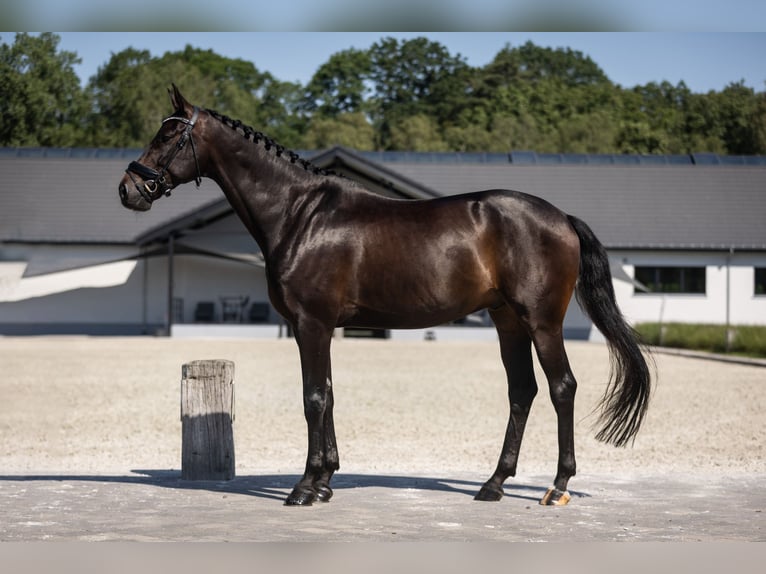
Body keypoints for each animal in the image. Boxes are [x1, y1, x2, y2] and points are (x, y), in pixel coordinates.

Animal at [117, 85, 652, 508]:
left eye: (167, 136)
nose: (128, 189)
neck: (299, 213)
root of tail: (561, 218)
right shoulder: (318, 327)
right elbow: (329, 394)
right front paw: (325, 481)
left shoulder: (311, 323)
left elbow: (314, 397)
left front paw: (304, 488)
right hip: (508, 322)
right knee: (522, 392)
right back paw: (494, 484)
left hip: (541, 321)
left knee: (563, 388)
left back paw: (557, 486)